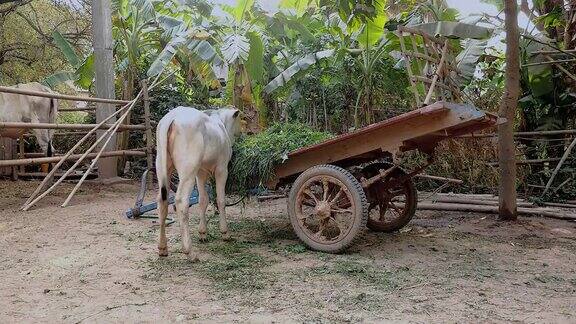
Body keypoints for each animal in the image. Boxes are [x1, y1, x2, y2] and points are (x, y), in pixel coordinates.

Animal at [154, 106, 240, 260]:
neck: (220, 124)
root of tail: (172, 116)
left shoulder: (201, 172)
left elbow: (203, 200)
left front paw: (203, 233)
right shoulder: (222, 169)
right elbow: (221, 200)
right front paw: (225, 233)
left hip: (162, 166)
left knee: (162, 201)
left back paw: (163, 248)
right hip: (188, 169)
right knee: (181, 201)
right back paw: (189, 252)